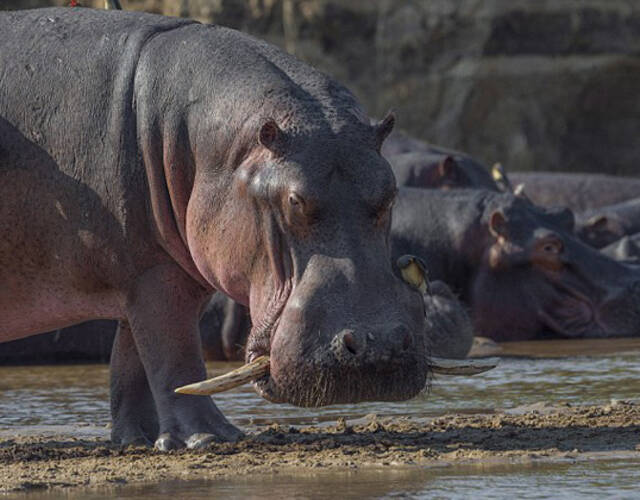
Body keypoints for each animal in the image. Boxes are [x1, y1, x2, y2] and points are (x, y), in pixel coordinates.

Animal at [1, 8, 430, 450]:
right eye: (293, 200)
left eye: (390, 190)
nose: (376, 346)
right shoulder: (155, 275)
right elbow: (175, 355)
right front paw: (211, 437)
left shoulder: (154, 274)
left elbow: (134, 360)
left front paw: (139, 440)